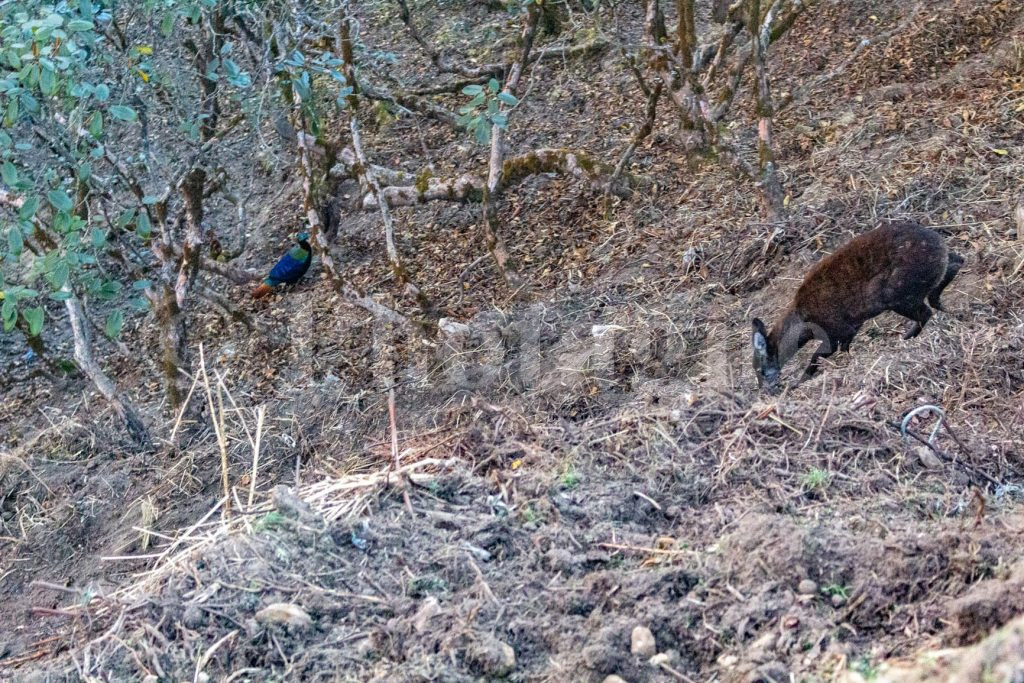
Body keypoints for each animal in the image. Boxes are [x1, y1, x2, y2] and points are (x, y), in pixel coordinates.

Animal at [753, 222, 958, 387]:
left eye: (761, 369)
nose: (765, 389)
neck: (804, 323)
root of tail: (938, 241)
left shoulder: (836, 329)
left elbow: (817, 356)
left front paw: (798, 382)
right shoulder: (853, 325)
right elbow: (845, 349)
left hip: (897, 293)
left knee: (926, 312)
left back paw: (907, 337)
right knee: (956, 262)